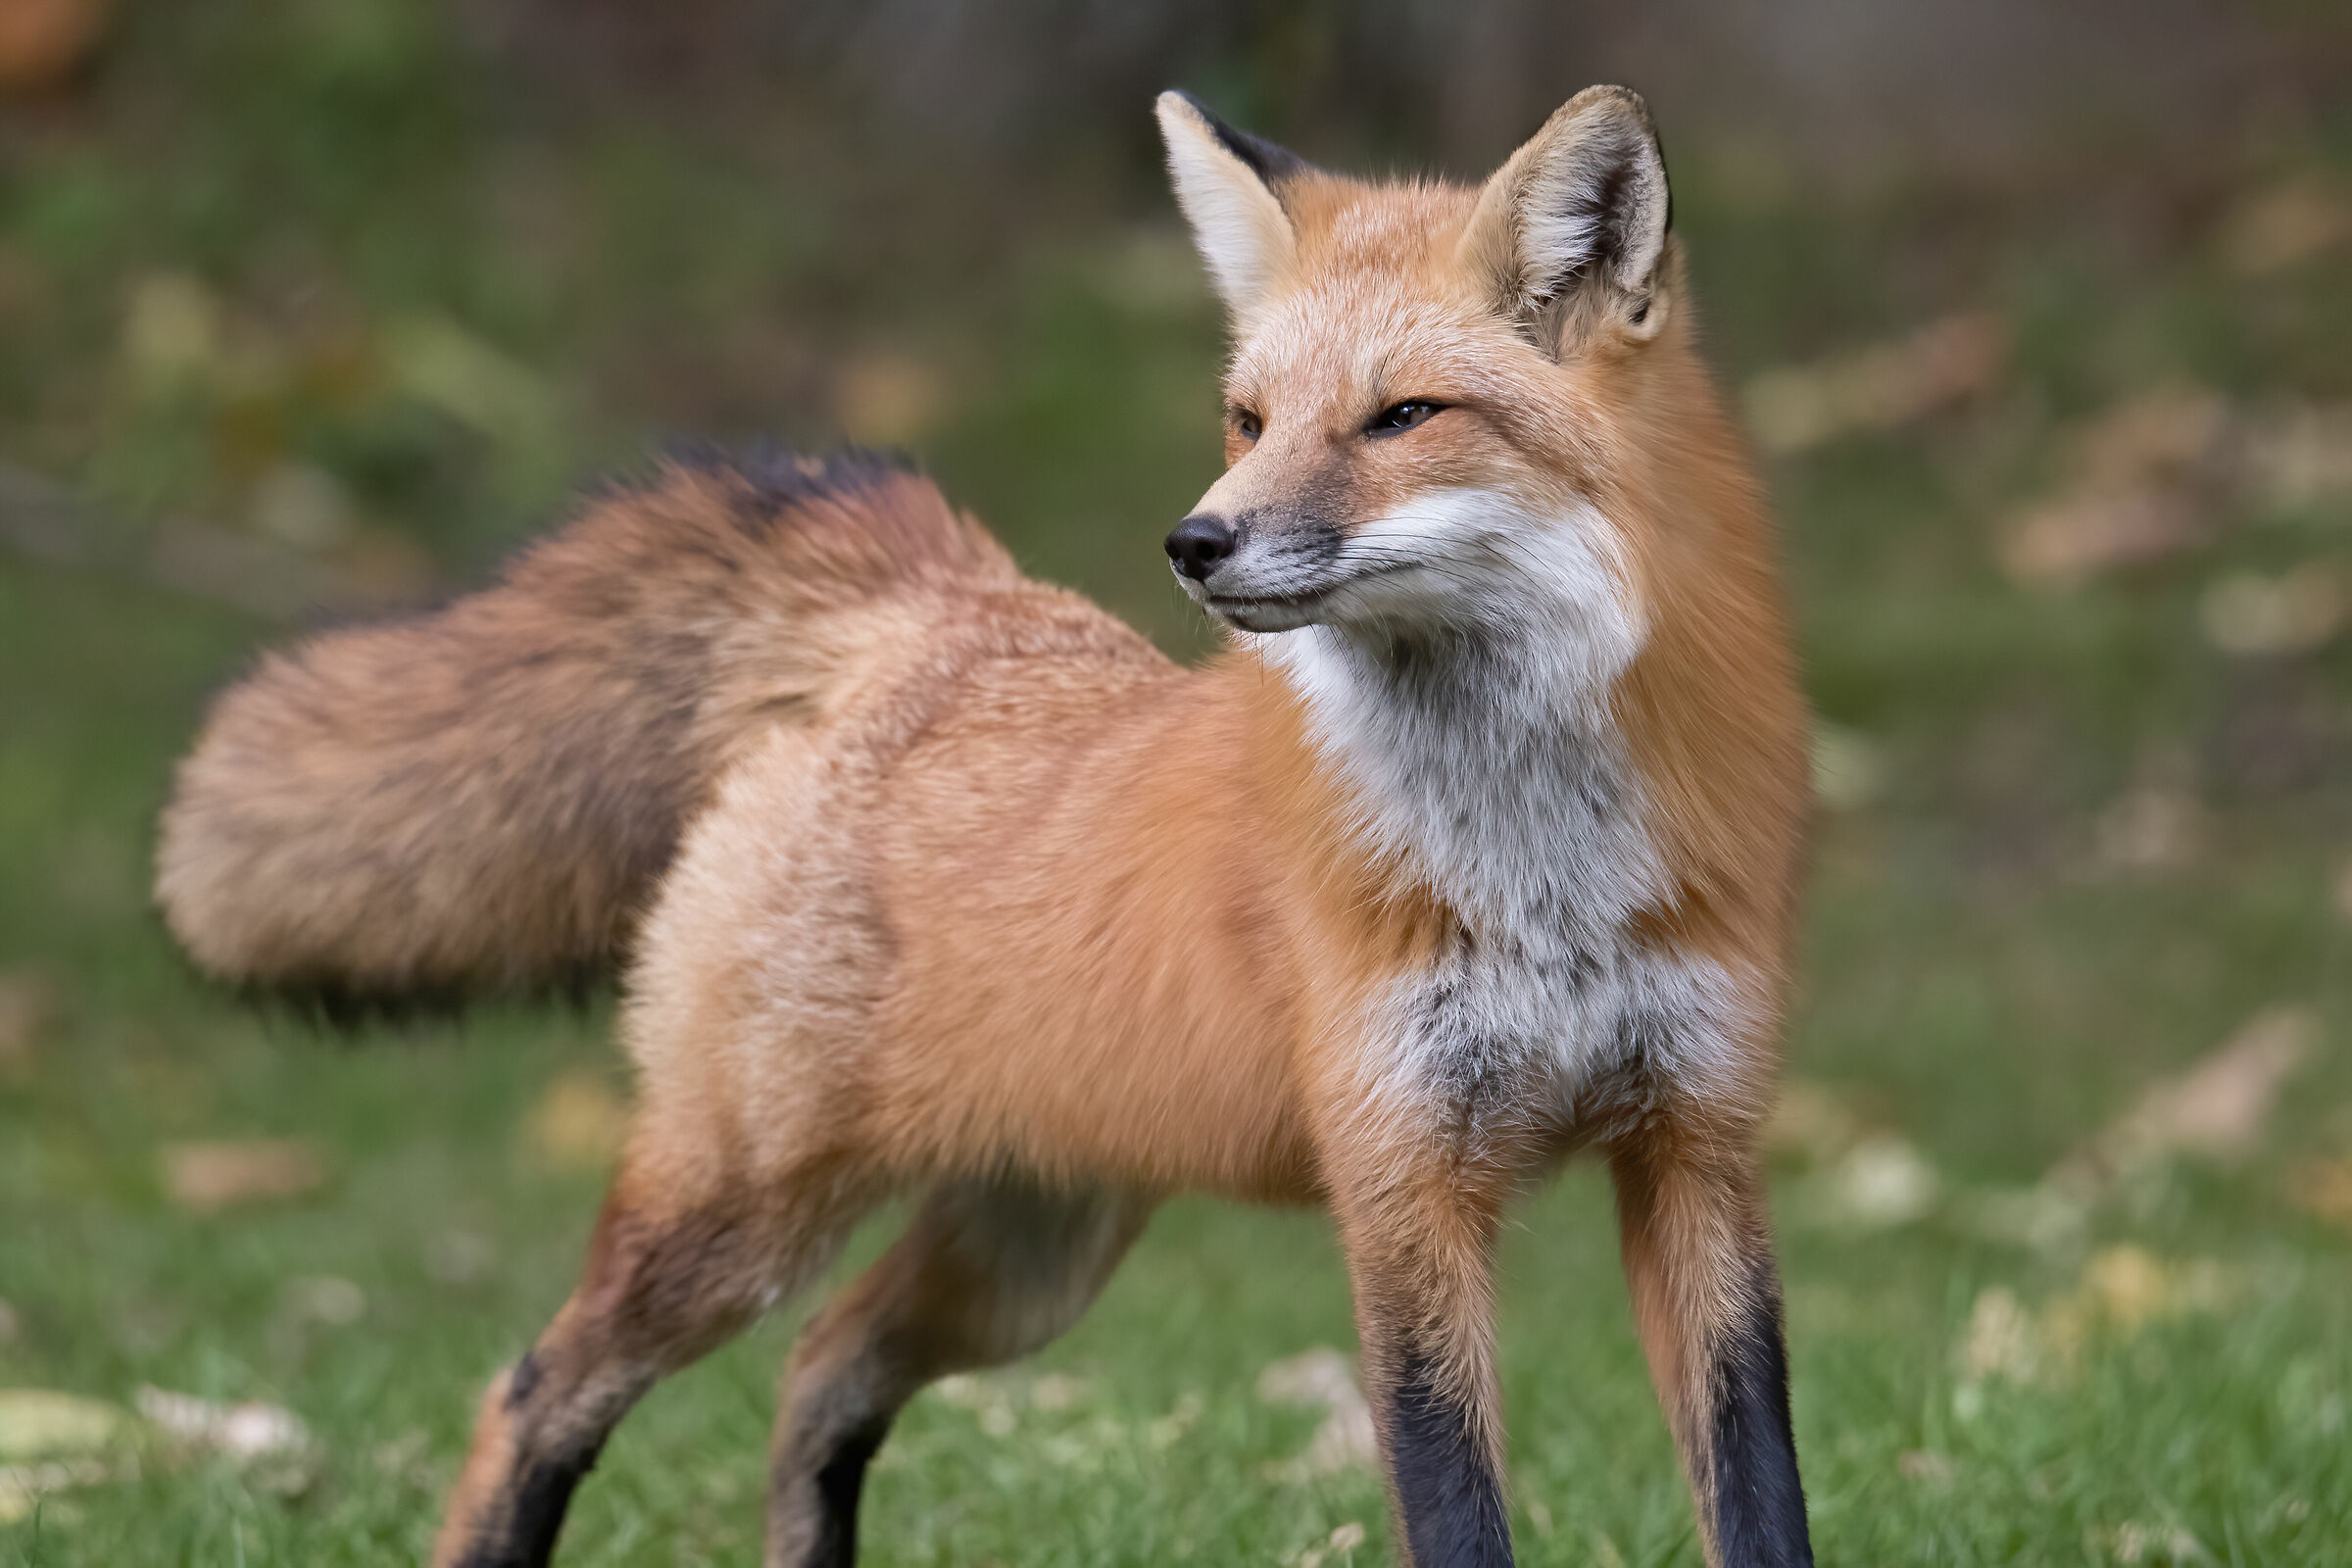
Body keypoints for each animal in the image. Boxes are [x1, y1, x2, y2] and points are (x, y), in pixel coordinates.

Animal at [154, 86, 1813, 1568]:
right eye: (1248, 418)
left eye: (1404, 417)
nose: (1197, 539)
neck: (1541, 882)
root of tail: (943, 615)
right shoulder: (1406, 1189)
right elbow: (1460, 1510)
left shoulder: (1698, 1155)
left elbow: (1759, 1498)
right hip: (743, 1216)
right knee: (531, 1395)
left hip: (1030, 1250)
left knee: (819, 1376)